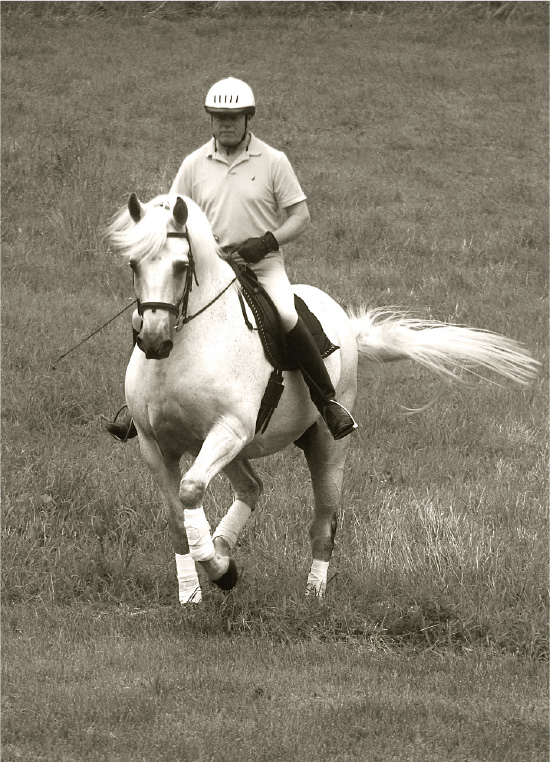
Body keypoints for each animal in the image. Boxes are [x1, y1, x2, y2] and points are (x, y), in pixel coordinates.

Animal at [106, 191, 540, 604]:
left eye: (181, 266)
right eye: (133, 265)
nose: (154, 341)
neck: (185, 349)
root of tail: (343, 321)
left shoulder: (228, 429)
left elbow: (192, 489)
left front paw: (220, 572)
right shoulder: (155, 445)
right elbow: (178, 522)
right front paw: (192, 593)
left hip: (323, 445)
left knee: (324, 524)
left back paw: (312, 595)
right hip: (225, 446)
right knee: (252, 487)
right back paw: (223, 549)